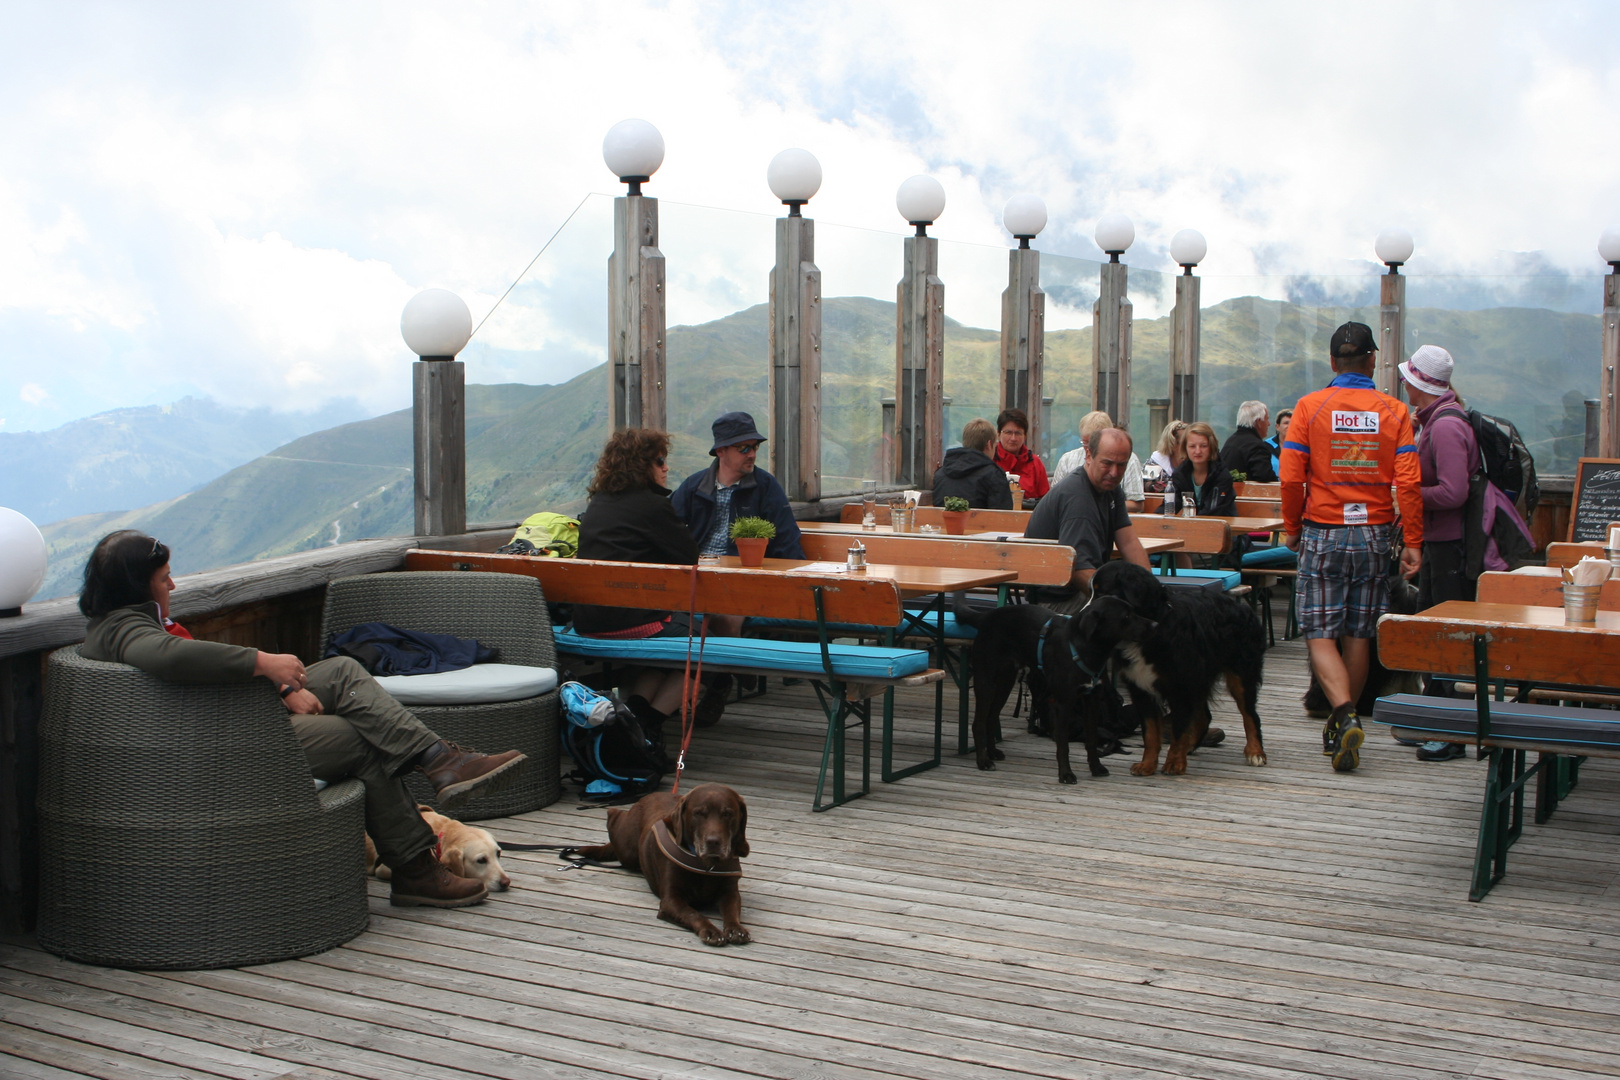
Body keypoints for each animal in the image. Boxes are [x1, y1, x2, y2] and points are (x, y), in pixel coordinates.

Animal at [573, 786, 748, 945]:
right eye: (698, 813)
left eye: (727, 814)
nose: (713, 842)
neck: (706, 866)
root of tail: (647, 796)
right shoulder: (670, 900)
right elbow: (693, 913)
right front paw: (711, 931)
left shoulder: (730, 893)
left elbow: (732, 911)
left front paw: (735, 929)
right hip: (627, 849)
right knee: (614, 816)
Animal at [946, 569, 1166, 780]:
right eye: (1126, 617)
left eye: (1133, 611)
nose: (1156, 626)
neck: (1086, 648)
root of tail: (986, 617)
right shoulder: (1063, 702)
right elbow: (1063, 745)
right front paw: (1066, 774)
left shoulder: (1091, 699)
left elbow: (1092, 739)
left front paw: (1096, 768)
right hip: (986, 680)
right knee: (979, 723)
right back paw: (983, 761)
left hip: (1005, 681)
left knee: (991, 718)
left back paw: (992, 753)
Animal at [1095, 566, 1270, 777]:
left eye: (1102, 593)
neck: (1151, 629)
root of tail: (1244, 607)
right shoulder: (1142, 689)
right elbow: (1151, 733)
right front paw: (1147, 765)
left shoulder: (1180, 687)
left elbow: (1178, 729)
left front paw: (1174, 763)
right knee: (1204, 716)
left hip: (1241, 675)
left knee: (1250, 715)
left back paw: (1255, 752)